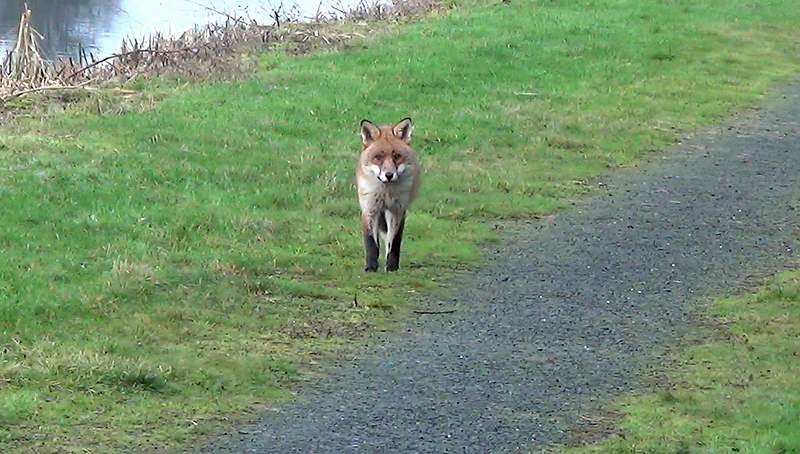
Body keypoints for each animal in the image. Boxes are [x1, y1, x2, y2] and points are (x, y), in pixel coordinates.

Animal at [356, 117, 421, 272]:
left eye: (397, 156)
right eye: (378, 157)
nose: (389, 175)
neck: (386, 192)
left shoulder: (397, 210)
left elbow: (394, 242)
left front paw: (391, 267)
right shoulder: (370, 209)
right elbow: (371, 243)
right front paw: (371, 267)